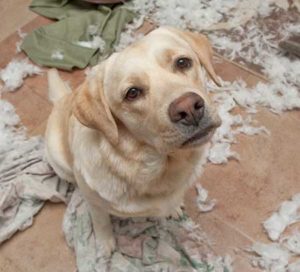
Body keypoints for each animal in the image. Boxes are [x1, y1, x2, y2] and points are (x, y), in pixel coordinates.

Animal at [45, 26, 221, 256]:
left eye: (183, 62)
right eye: (132, 93)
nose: (189, 108)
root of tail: (62, 100)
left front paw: (174, 207)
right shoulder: (95, 204)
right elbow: (101, 222)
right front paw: (105, 244)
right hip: (59, 160)